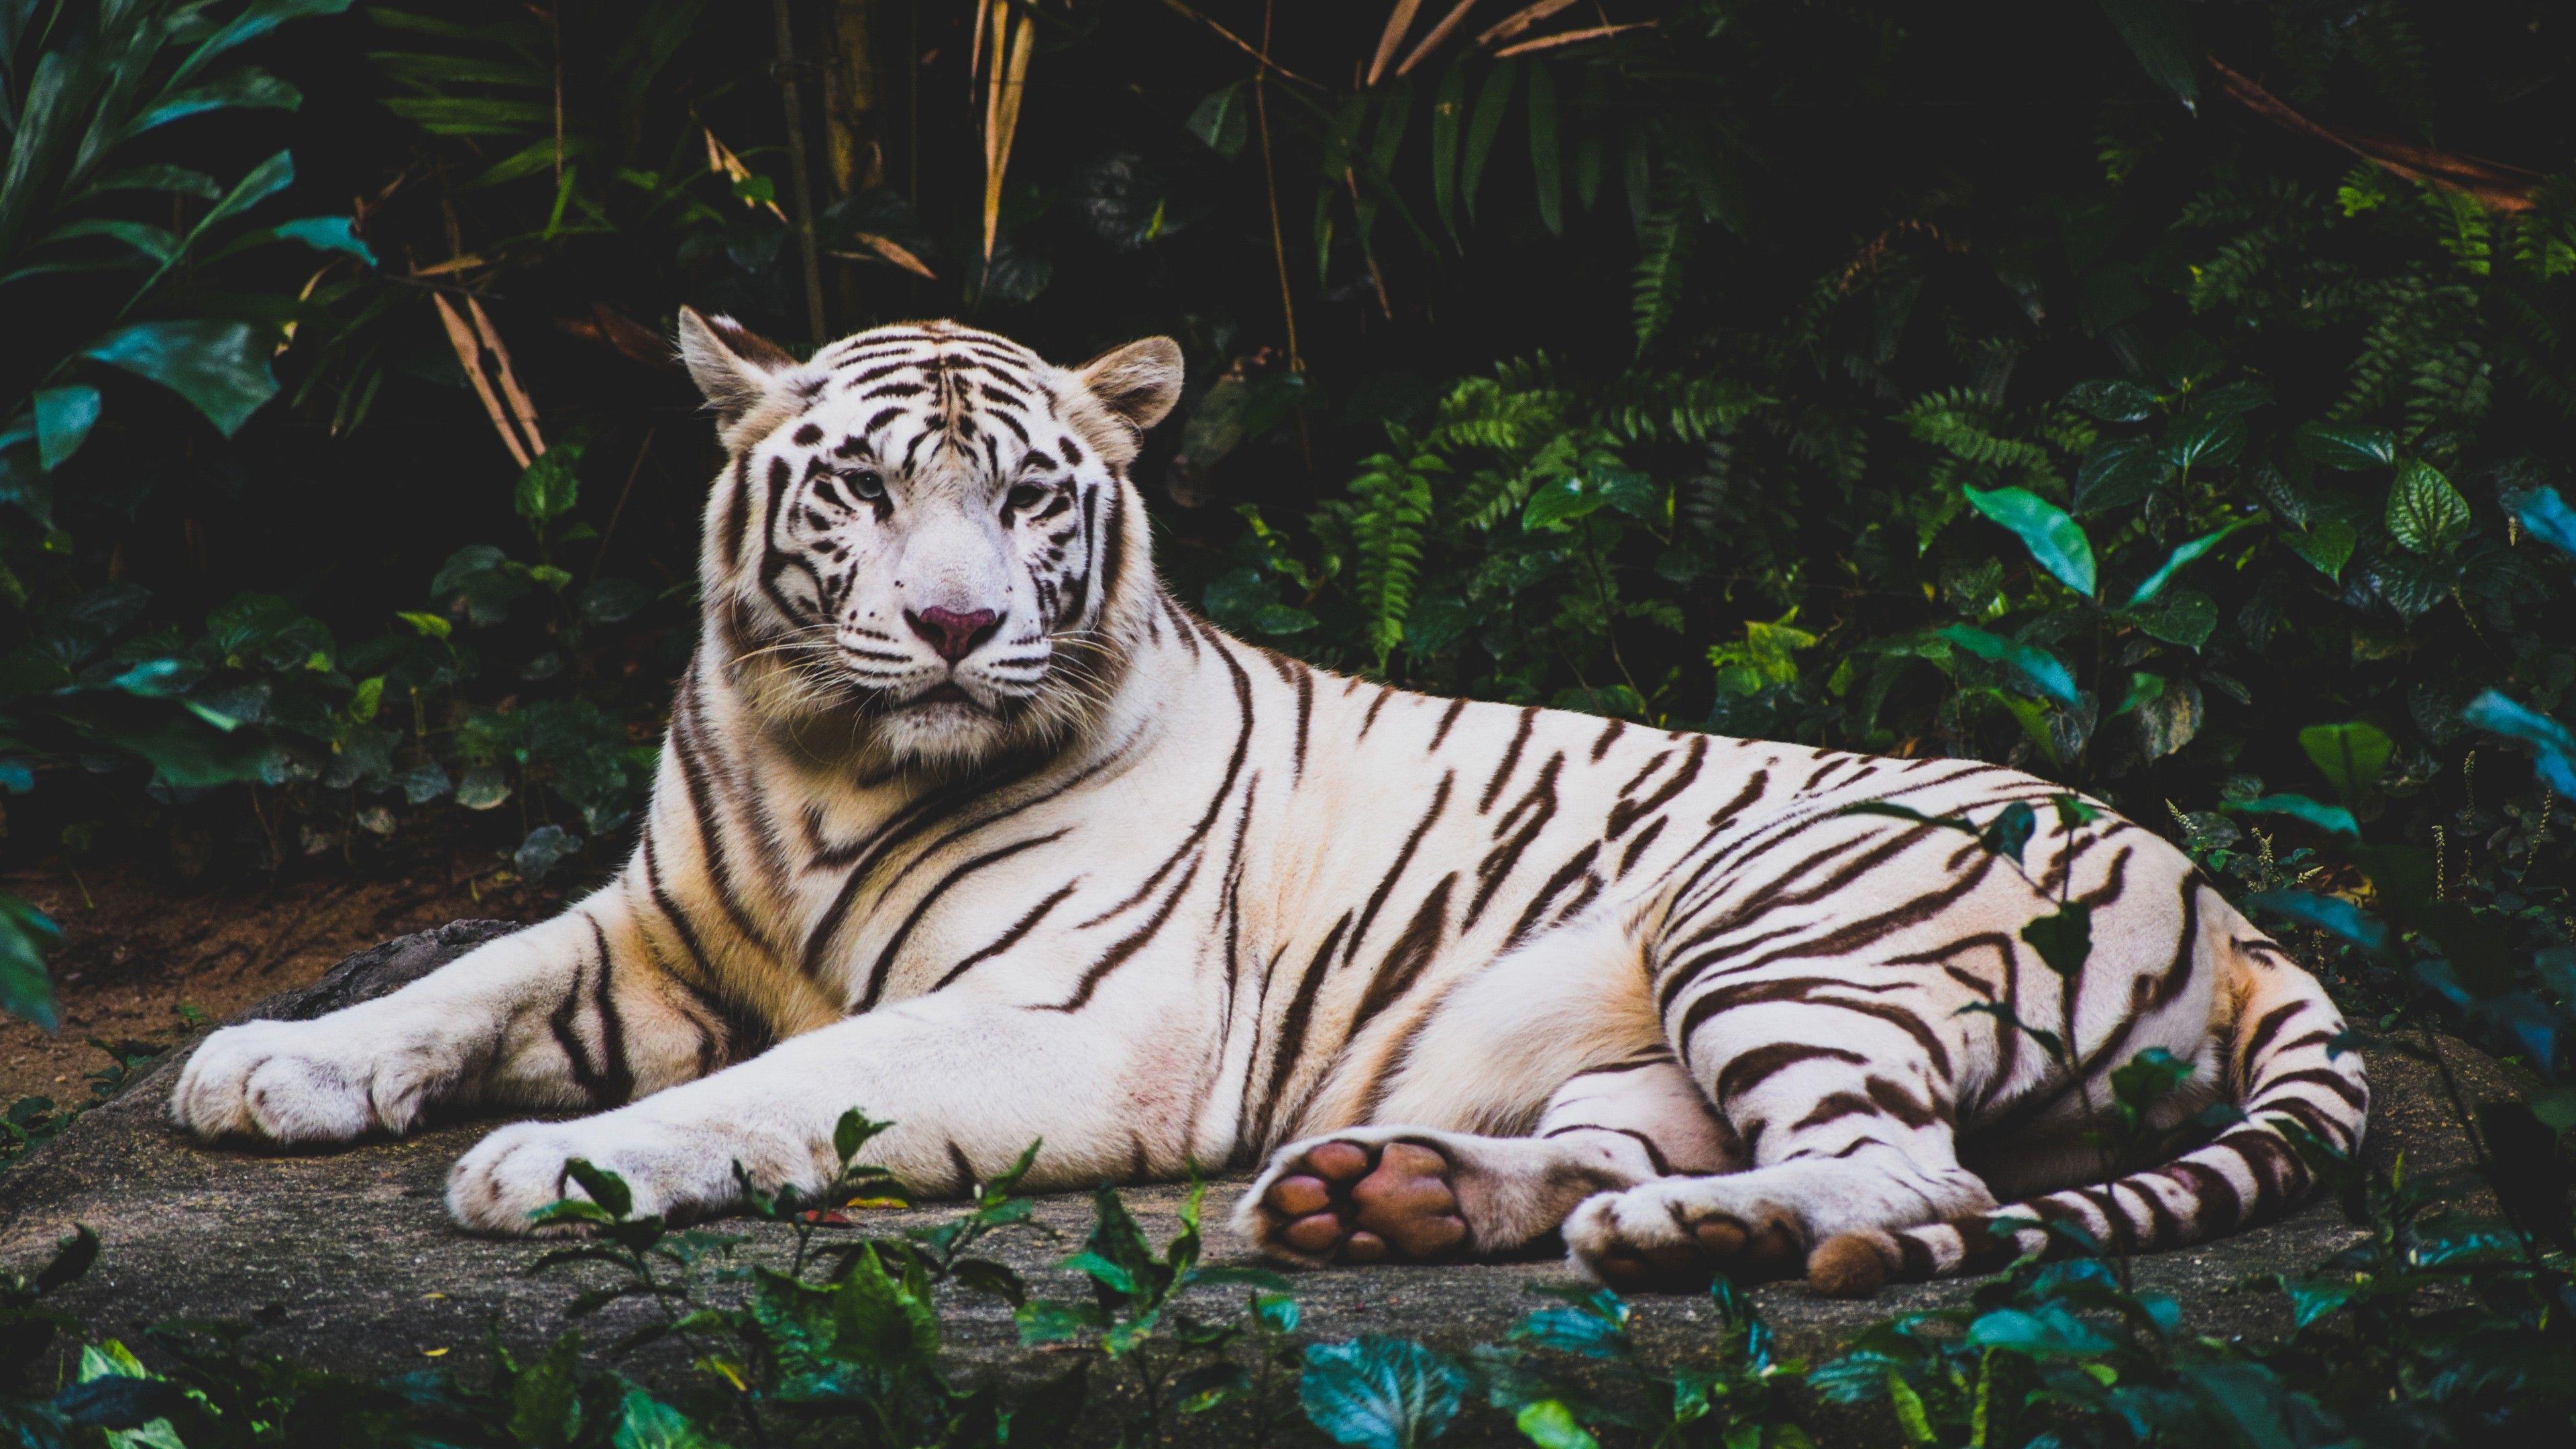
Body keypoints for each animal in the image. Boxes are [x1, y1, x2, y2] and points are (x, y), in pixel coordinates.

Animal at [169, 310, 2367, 1298]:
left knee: (1916, 1177)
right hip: (1642, 1031)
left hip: (1777, 915)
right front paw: (268, 1064)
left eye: (1028, 497)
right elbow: (461, 977)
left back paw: (1693, 1235)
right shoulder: (651, 924)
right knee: (1640, 1144)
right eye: (863, 488)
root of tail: (2231, 905)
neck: (823, 761)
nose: (956, 626)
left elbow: (773, 1089)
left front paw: (553, 1165)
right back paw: (1387, 1194)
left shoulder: (1069, 1025)